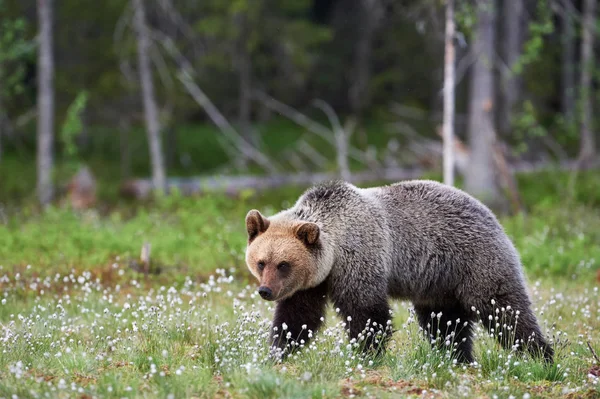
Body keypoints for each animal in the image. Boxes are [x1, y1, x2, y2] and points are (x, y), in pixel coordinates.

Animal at [244, 181, 552, 366]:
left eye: (284, 264)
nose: (265, 291)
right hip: (439, 283)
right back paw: (457, 358)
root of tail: (490, 213)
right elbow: (297, 317)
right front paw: (278, 353)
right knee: (445, 323)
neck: (335, 252)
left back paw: (541, 355)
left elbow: (367, 313)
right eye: (261, 262)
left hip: (476, 260)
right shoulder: (311, 282)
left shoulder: (361, 257)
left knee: (503, 308)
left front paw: (367, 354)